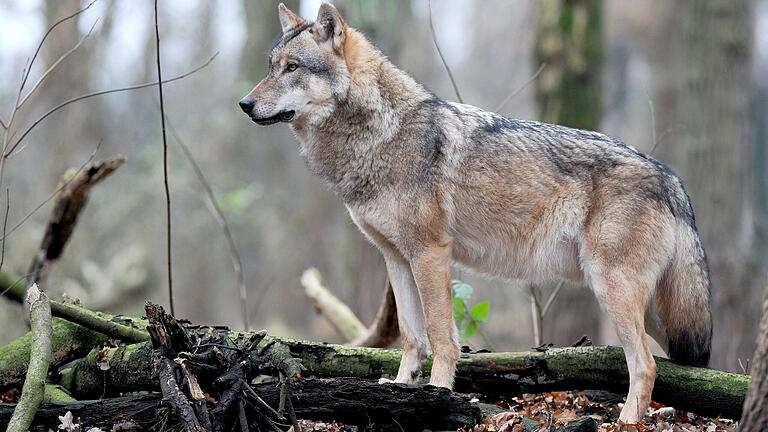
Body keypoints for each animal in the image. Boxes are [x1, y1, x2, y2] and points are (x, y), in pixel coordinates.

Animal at [240, 2, 712, 422]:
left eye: (293, 68)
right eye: (271, 66)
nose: (244, 104)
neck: (380, 134)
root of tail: (672, 177)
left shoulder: (430, 253)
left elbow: (441, 335)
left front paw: (437, 393)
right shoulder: (397, 258)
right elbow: (411, 337)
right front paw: (401, 389)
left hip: (613, 289)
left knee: (646, 365)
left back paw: (626, 420)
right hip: (646, 305)